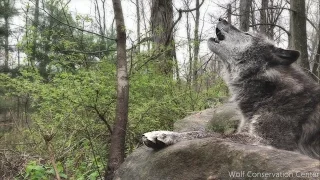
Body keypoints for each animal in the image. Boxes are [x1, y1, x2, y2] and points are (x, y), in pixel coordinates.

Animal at [143, 17, 320, 159]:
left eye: (247, 35)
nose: (222, 18)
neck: (269, 90)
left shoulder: (271, 143)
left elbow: (212, 134)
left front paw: (164, 135)